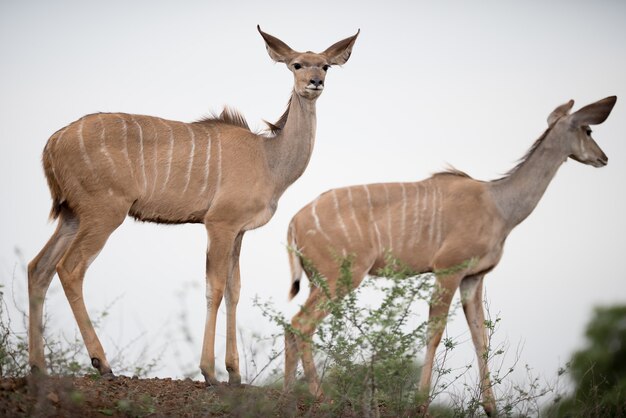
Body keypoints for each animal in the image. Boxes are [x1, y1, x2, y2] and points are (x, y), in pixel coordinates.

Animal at [284, 95, 616, 414]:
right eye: (588, 130)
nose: (603, 157)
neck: (499, 204)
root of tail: (294, 222)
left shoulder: (474, 277)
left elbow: (480, 337)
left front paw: (491, 408)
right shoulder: (449, 269)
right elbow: (435, 331)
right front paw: (420, 403)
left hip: (319, 281)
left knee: (291, 326)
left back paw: (290, 396)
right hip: (340, 277)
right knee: (302, 324)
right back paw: (321, 398)